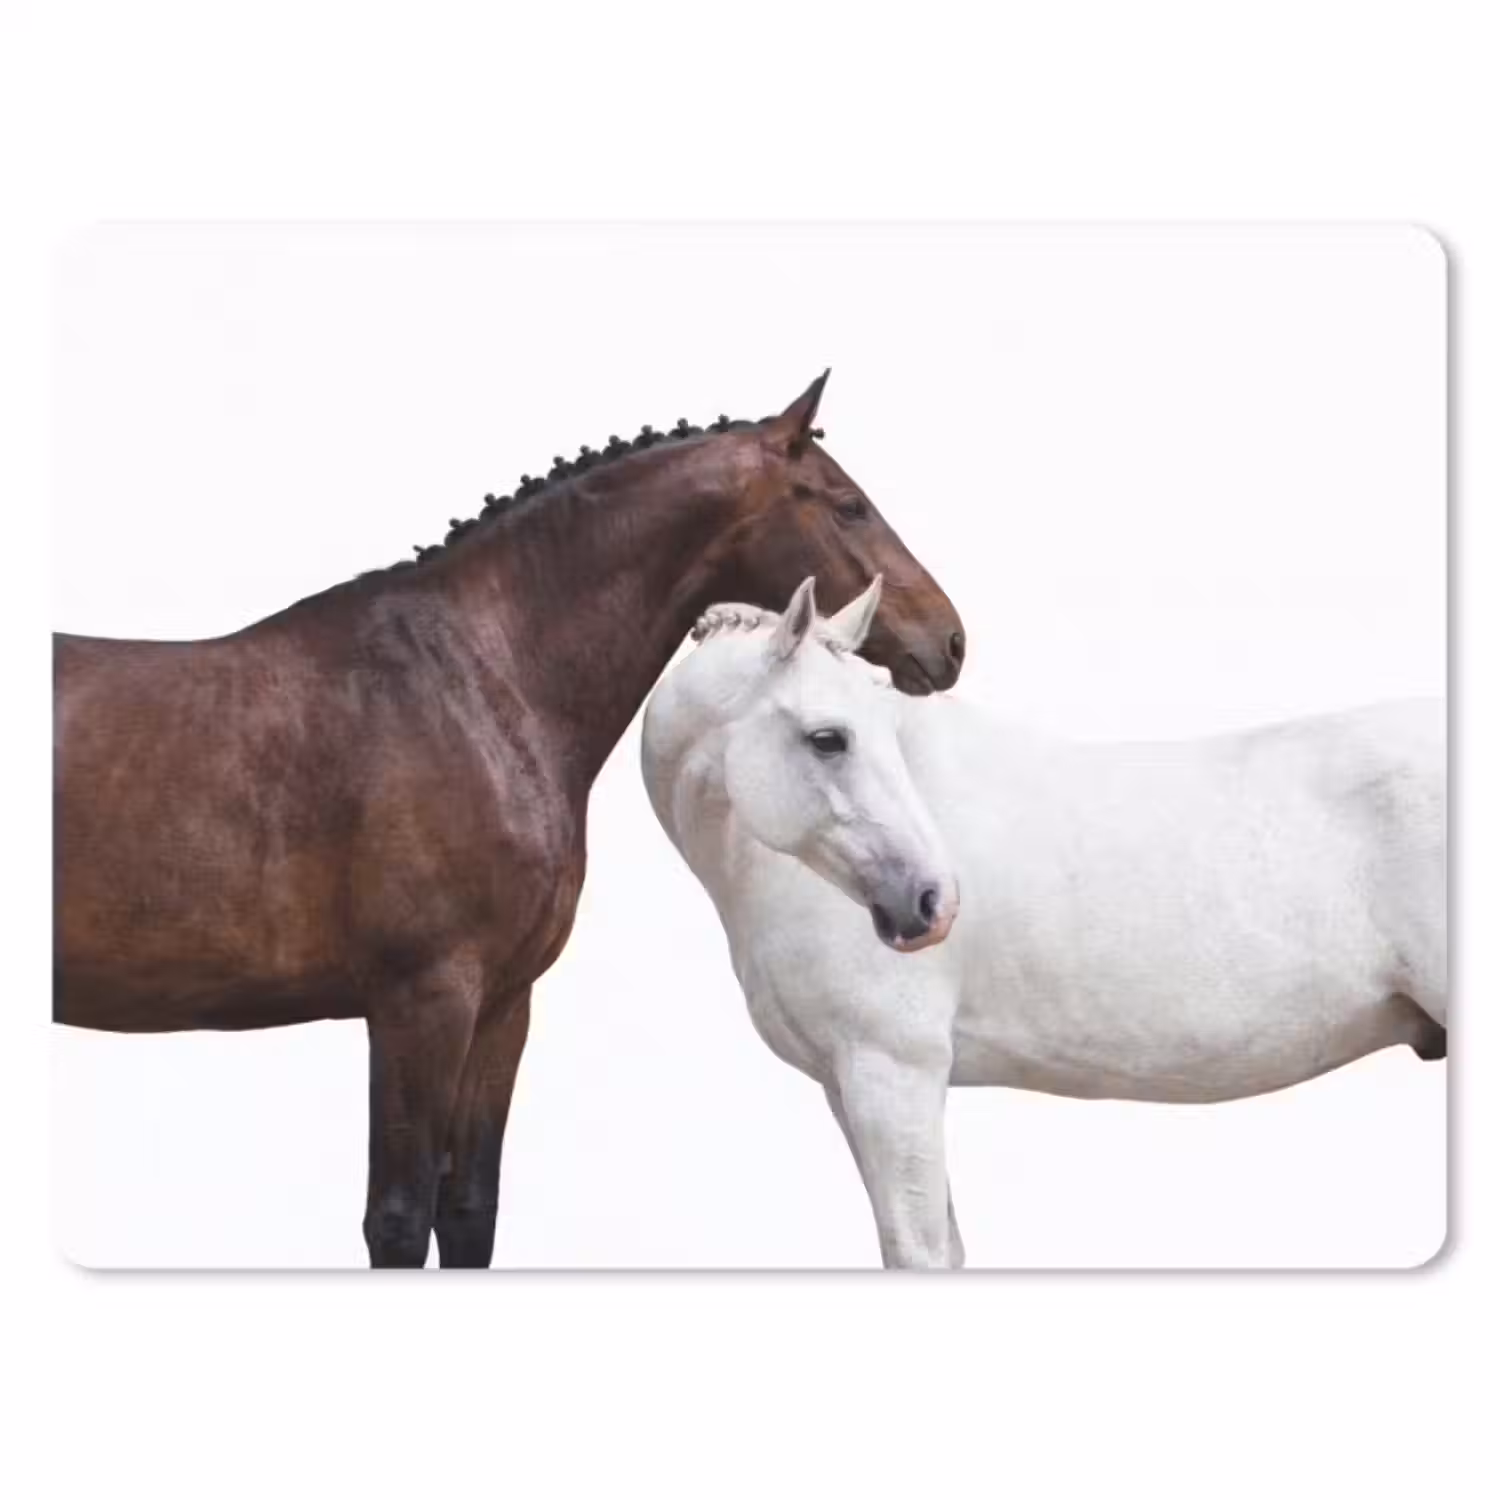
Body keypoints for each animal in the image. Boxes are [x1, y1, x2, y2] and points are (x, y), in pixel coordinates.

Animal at [53, 373, 968, 1268]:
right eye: (847, 505)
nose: (951, 639)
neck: (474, 684)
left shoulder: (501, 1006)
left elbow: (467, 1212)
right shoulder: (421, 1001)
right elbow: (397, 1219)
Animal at [641, 578, 1447, 1269]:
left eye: (857, 733)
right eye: (829, 737)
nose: (932, 901)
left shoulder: (892, 1071)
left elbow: (918, 1251)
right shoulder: (849, 1084)